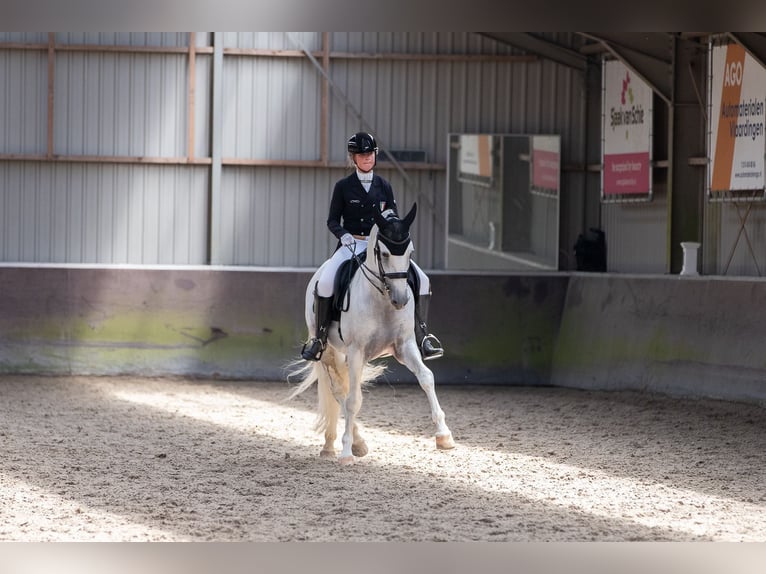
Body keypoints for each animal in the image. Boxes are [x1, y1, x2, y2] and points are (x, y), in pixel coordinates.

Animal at [288, 205, 456, 466]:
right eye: (385, 254)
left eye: (410, 252)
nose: (401, 300)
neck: (382, 299)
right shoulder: (356, 351)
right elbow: (353, 400)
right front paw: (346, 452)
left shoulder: (405, 346)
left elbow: (426, 378)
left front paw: (444, 435)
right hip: (329, 351)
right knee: (340, 392)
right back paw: (348, 444)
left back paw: (342, 444)